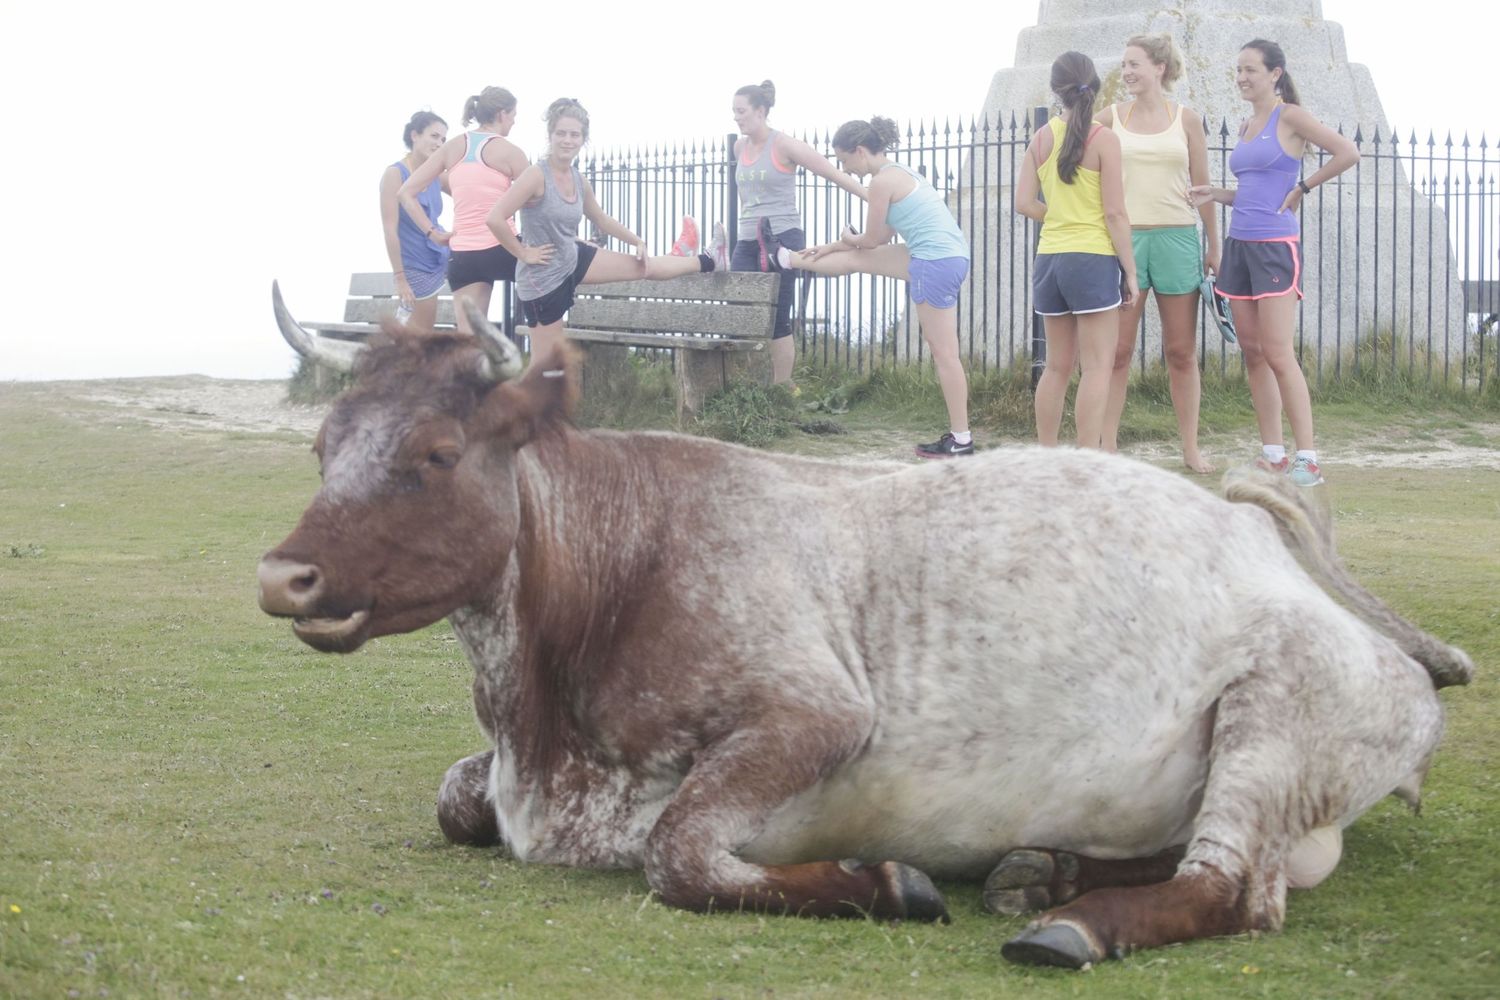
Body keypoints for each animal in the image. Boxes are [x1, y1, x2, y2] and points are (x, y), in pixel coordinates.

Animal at [258, 282, 1473, 969]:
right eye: (324, 446)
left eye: (435, 453)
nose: (284, 575)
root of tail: (1267, 541)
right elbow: (455, 798)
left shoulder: (816, 714)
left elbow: (676, 853)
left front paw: (885, 884)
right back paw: (1045, 869)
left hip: (1277, 715)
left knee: (1233, 890)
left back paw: (1070, 921)